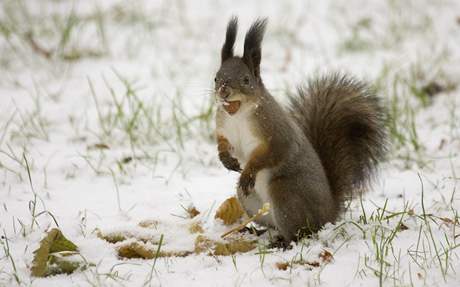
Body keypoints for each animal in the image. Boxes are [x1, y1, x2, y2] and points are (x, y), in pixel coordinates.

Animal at [214, 16, 386, 244]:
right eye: (216, 77)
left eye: (246, 80)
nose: (224, 91)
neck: (239, 115)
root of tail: (329, 213)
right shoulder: (223, 127)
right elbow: (223, 144)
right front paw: (226, 159)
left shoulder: (275, 131)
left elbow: (273, 153)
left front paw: (248, 172)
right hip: (249, 199)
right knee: (271, 223)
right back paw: (255, 231)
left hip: (285, 193)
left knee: (299, 232)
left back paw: (283, 243)